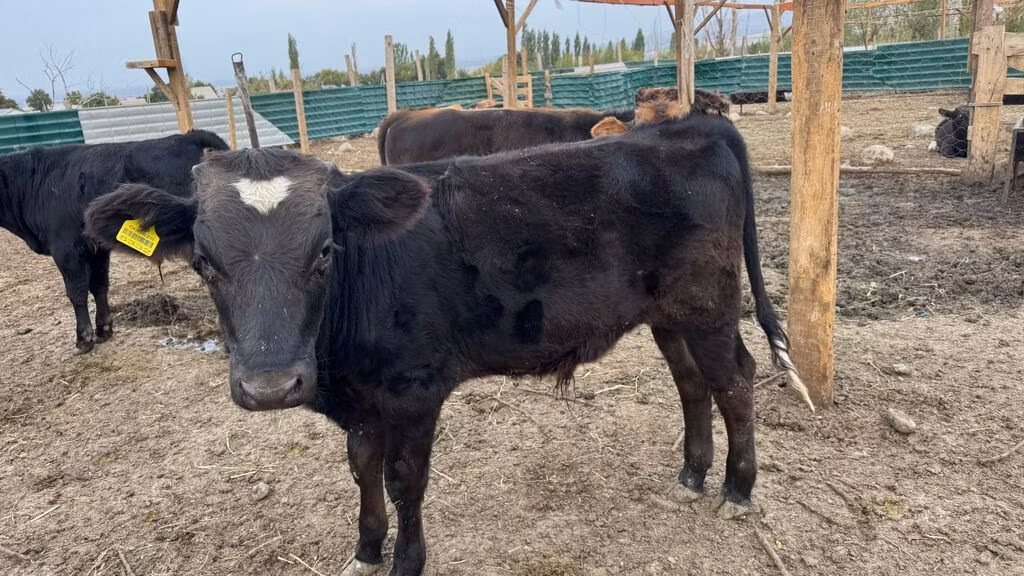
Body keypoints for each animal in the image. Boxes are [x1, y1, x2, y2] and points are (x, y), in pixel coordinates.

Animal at [0, 130, 228, 351]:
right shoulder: (96, 248)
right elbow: (99, 285)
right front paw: (104, 329)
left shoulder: (66, 248)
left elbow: (77, 292)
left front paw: (83, 339)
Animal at [85, 114, 812, 576]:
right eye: (204, 263)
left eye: (324, 252)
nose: (269, 387)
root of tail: (689, 127)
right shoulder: (363, 401)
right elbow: (363, 469)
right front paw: (366, 551)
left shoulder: (415, 390)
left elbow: (405, 479)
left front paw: (407, 562)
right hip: (668, 314)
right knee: (692, 384)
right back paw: (692, 475)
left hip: (708, 306)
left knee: (735, 380)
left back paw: (737, 489)